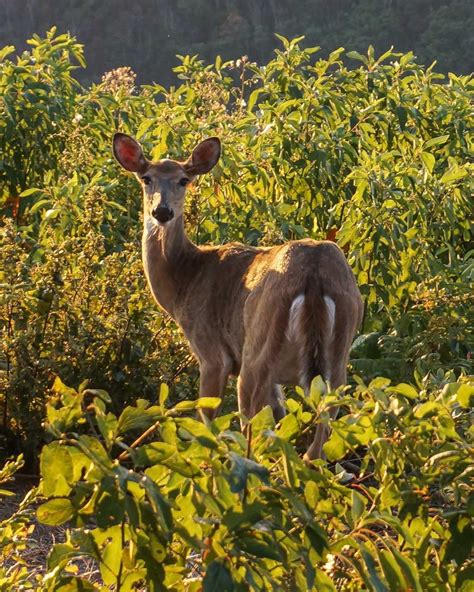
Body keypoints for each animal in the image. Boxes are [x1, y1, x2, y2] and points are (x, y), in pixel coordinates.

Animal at [112, 132, 362, 460]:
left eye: (183, 180)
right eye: (146, 178)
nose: (162, 212)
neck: (186, 279)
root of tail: (314, 274)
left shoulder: (211, 352)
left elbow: (206, 419)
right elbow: (278, 417)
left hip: (257, 349)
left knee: (250, 429)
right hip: (338, 350)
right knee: (320, 430)